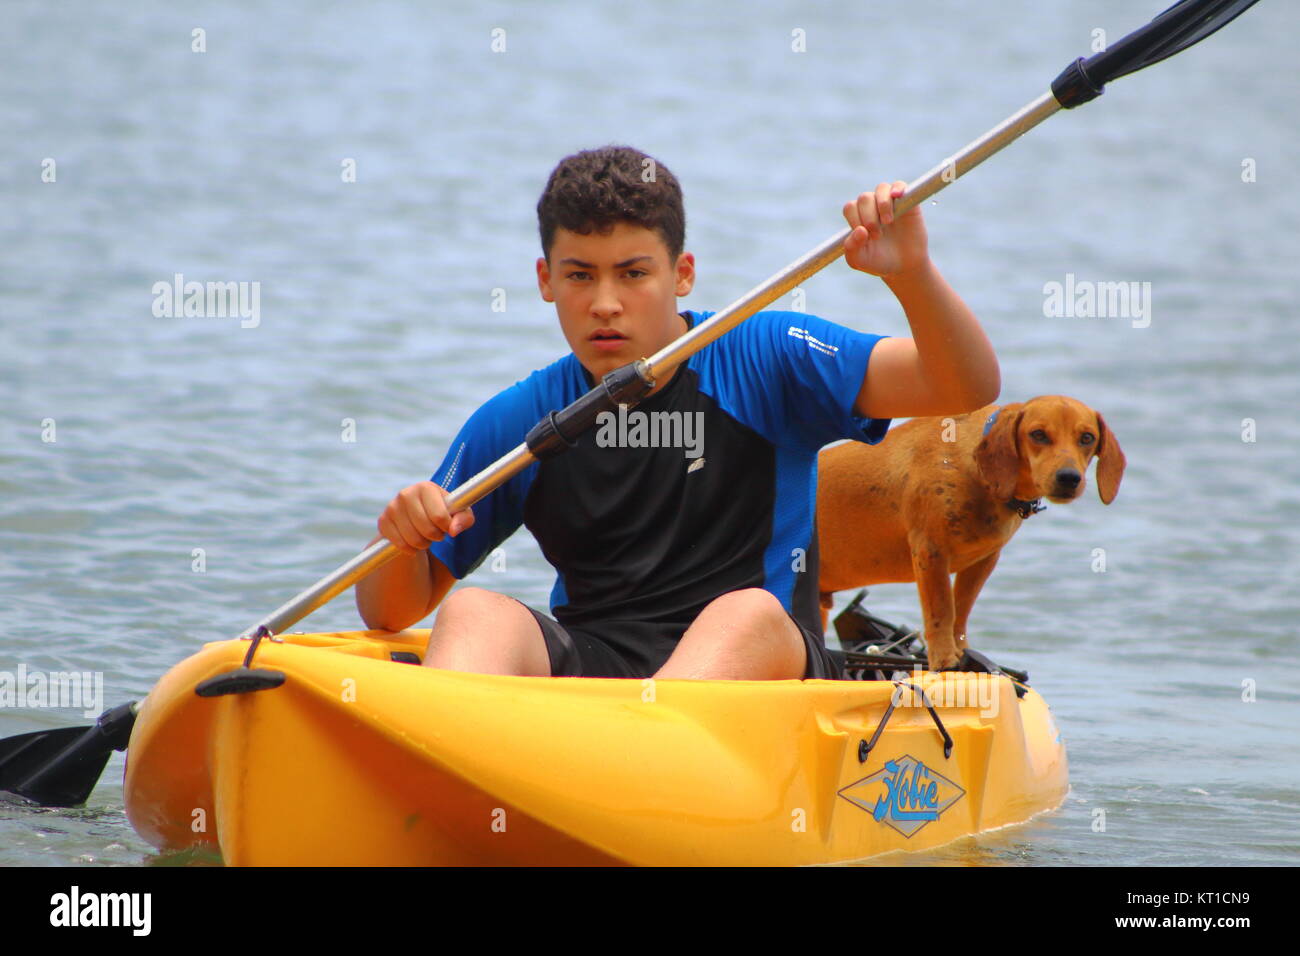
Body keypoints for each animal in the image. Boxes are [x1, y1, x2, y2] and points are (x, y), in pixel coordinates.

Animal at [816, 395, 1123, 671]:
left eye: (1087, 438)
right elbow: (941, 611)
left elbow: (960, 612)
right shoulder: (930, 552)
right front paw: (944, 659)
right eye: (1038, 434)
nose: (1069, 478)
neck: (978, 473)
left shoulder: (984, 560)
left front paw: (960, 651)